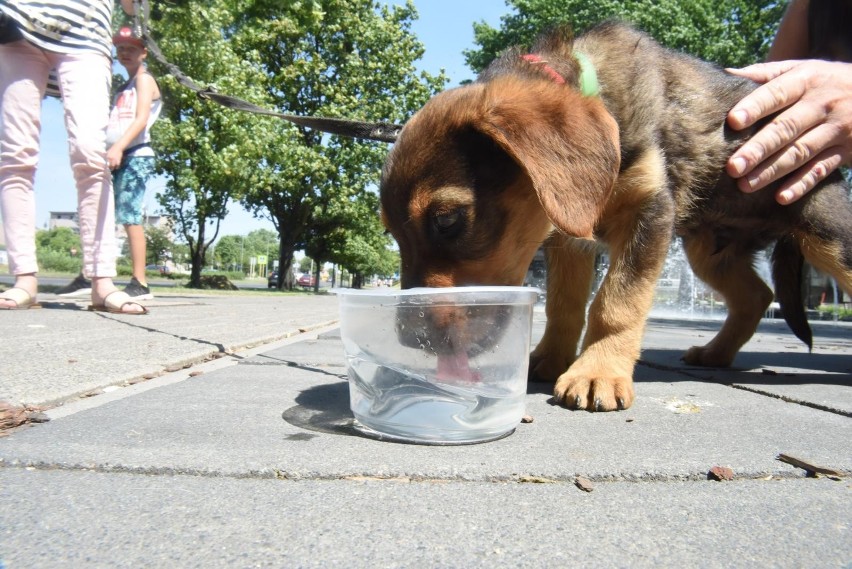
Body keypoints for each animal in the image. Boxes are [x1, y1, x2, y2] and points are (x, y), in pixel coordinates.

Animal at [380, 22, 852, 410]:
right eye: (393, 235)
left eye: (446, 220)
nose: (407, 339)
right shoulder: (569, 235)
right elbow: (565, 303)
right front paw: (550, 359)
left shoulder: (648, 210)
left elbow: (616, 301)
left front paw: (597, 372)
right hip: (709, 251)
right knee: (756, 295)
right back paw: (714, 354)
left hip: (828, 238)